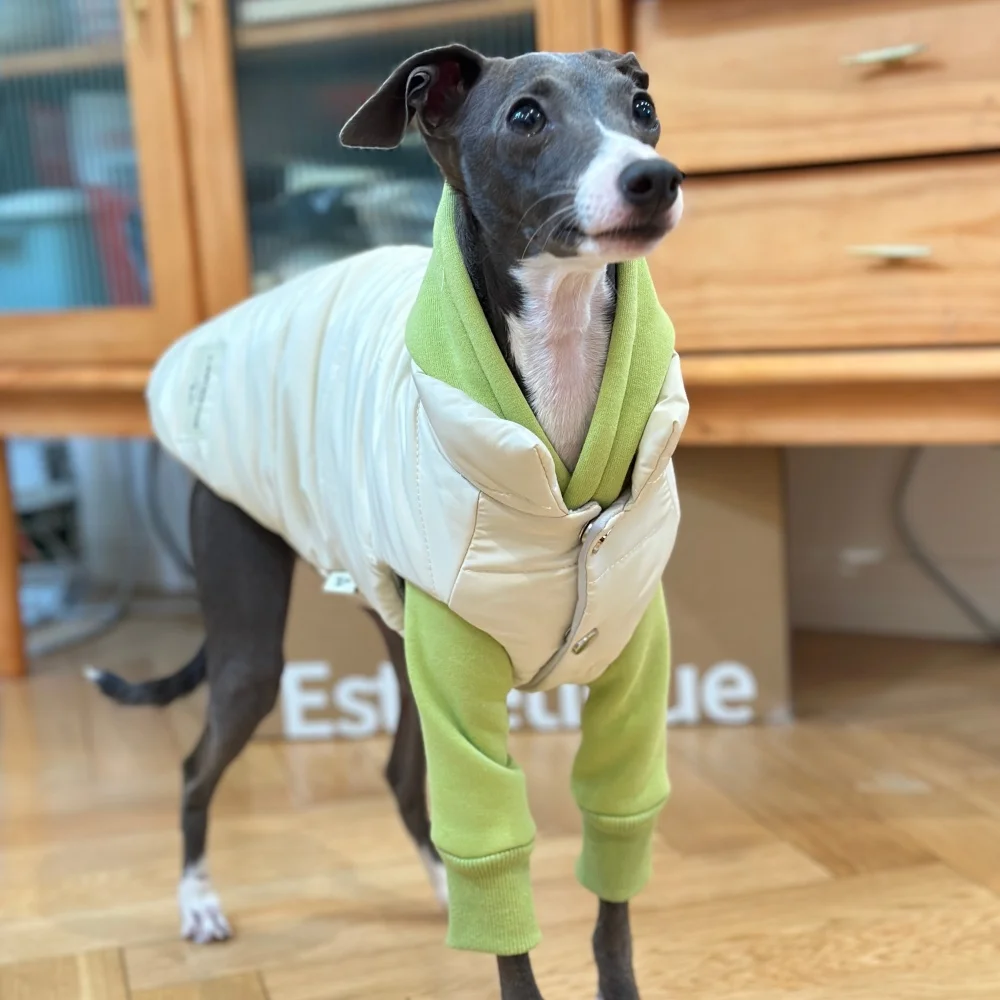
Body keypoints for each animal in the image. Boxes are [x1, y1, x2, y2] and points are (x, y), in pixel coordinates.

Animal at [89, 44, 686, 999]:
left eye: (642, 105)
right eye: (525, 115)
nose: (653, 180)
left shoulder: (628, 668)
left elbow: (615, 873)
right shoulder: (459, 691)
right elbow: (494, 856)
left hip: (400, 642)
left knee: (403, 777)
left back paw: (441, 898)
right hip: (254, 641)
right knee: (195, 765)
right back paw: (198, 902)